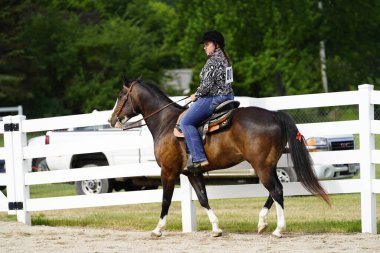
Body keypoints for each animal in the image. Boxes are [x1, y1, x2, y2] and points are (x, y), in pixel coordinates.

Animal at [108, 78, 332, 237]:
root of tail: (275, 115)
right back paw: (262, 223)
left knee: (276, 190)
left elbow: (166, 200)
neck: (166, 123)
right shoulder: (192, 173)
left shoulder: (168, 171)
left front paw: (158, 229)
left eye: (121, 94)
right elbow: (202, 198)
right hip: (269, 165)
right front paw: (216, 228)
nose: (111, 120)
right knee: (276, 191)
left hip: (261, 166)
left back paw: (278, 230)